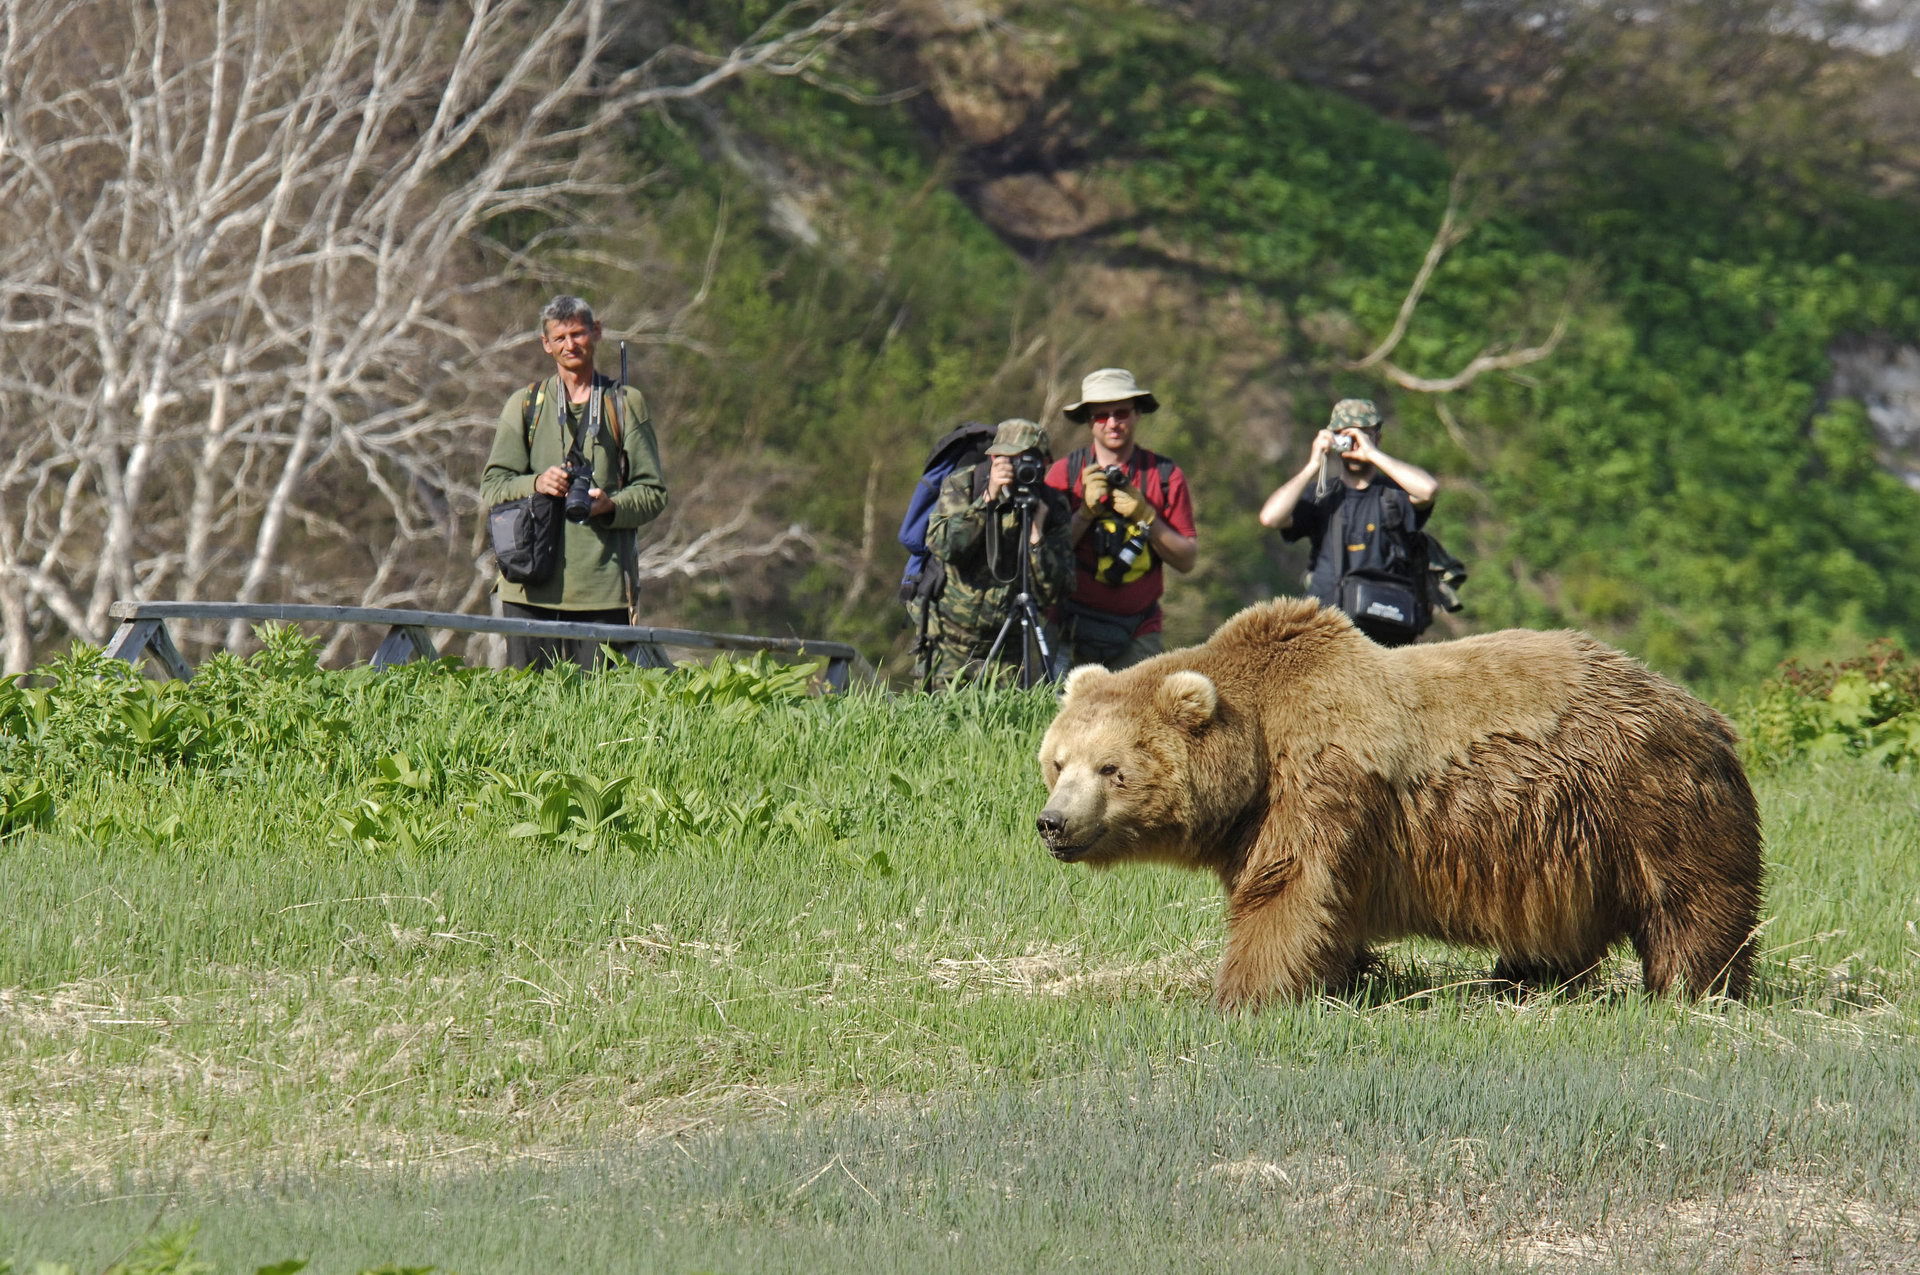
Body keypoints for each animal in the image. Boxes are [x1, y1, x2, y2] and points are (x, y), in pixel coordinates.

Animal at [1044, 599, 1758, 1006]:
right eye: (1056, 761)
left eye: (1111, 769)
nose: (1053, 821)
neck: (1257, 749)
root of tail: (1702, 709)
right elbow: (1323, 909)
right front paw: (1348, 976)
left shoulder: (1321, 781)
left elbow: (1289, 888)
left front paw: (1242, 996)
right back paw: (1523, 982)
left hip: (1647, 798)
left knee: (1691, 904)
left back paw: (1690, 991)